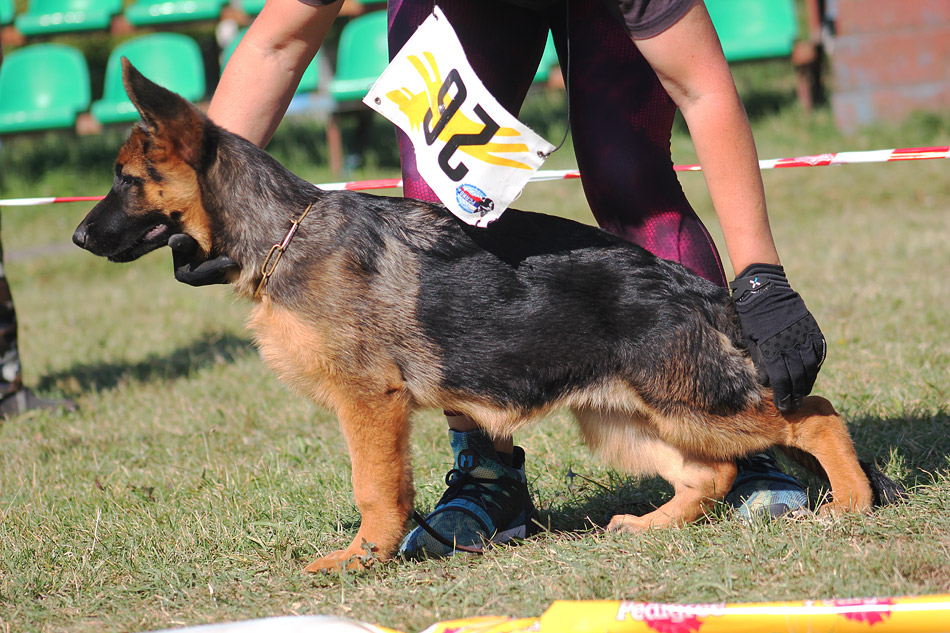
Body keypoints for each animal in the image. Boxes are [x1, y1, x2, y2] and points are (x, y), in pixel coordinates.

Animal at [74, 61, 900, 572]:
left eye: (124, 180)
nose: (78, 237)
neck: (284, 229)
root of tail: (702, 288)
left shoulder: (369, 404)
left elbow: (376, 489)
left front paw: (364, 560)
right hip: (624, 417)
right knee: (711, 471)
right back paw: (652, 527)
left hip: (695, 402)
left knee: (815, 416)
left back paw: (851, 503)